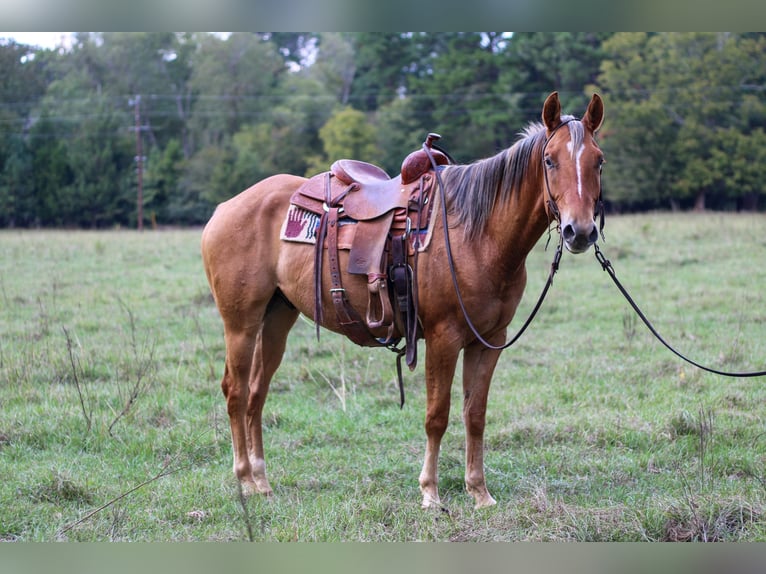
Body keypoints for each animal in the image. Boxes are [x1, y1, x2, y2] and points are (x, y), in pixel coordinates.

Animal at [202, 92, 608, 510]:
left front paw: (479, 492)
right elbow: (437, 415)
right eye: (550, 160)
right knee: (235, 391)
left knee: (256, 393)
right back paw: (243, 478)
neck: (477, 234)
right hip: (241, 324)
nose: (579, 231)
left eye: (599, 160)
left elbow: (475, 415)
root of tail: (225, 208)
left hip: (277, 318)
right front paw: (430, 492)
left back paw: (261, 482)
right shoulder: (444, 337)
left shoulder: (488, 341)